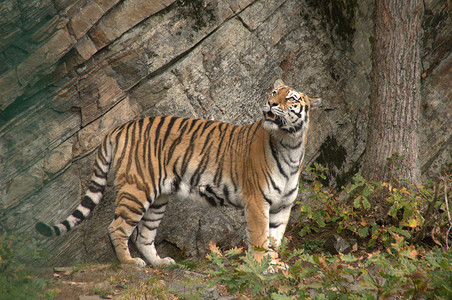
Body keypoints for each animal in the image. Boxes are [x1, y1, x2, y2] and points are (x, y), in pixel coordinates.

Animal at [37, 79, 324, 268]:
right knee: (117, 227)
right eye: (274, 92)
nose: (270, 103)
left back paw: (161, 263)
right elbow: (260, 238)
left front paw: (274, 266)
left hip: (158, 199)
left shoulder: (283, 206)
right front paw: (260, 268)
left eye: (290, 98)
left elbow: (275, 240)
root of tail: (118, 128)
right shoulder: (256, 203)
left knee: (144, 235)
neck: (290, 144)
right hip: (136, 190)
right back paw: (130, 263)